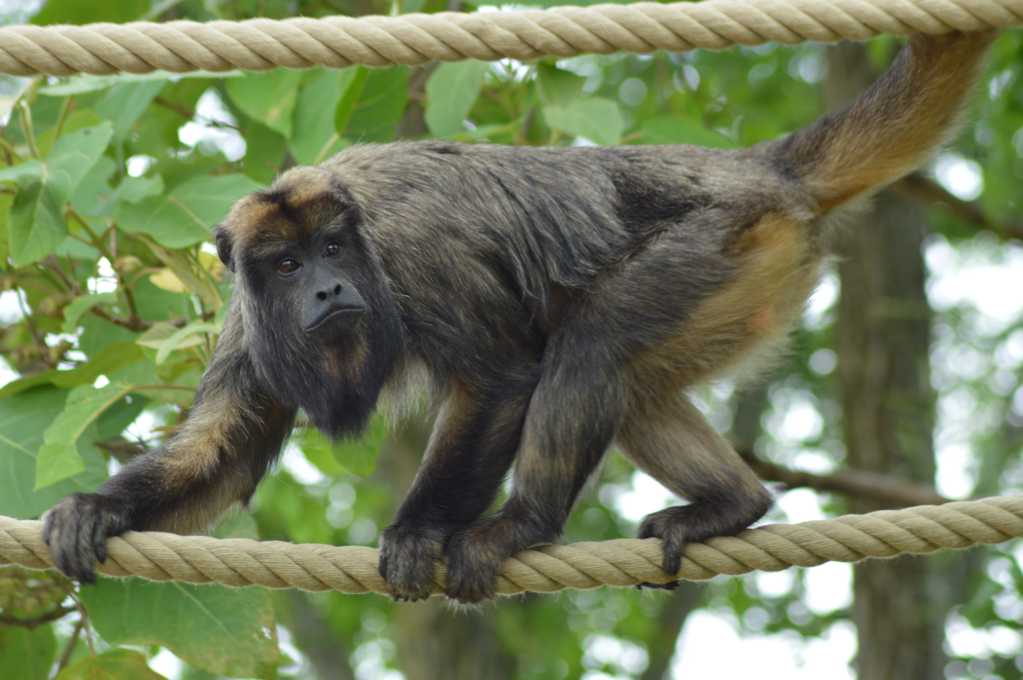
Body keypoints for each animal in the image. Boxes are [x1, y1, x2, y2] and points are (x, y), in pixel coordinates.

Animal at [46, 34, 990, 601]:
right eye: (286, 265)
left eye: (333, 251)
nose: (328, 292)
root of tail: (760, 170)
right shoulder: (246, 326)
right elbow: (224, 454)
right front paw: (97, 508)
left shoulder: (418, 256)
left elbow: (499, 377)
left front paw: (419, 531)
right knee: (632, 382)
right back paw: (731, 503)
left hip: (722, 241)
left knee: (590, 345)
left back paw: (520, 525)